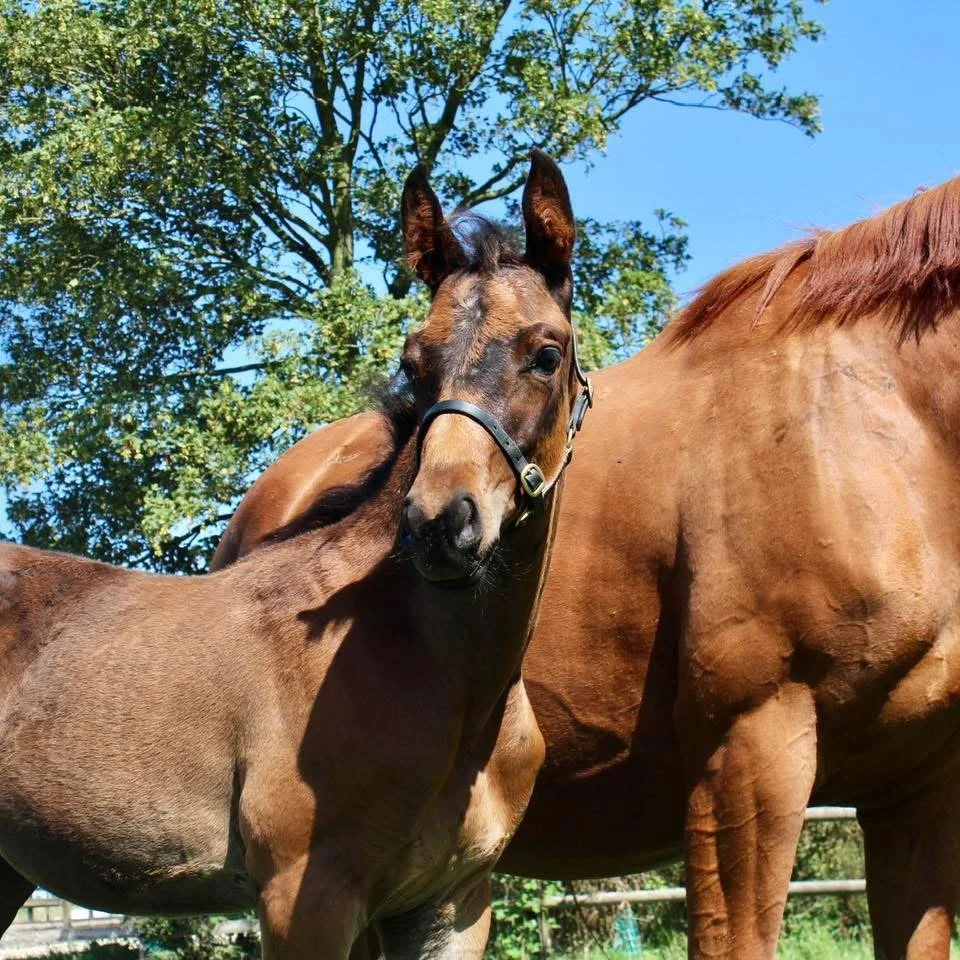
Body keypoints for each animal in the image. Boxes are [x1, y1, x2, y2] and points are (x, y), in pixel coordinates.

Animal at [0, 150, 595, 960]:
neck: (453, 686)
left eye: (546, 354)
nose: (440, 523)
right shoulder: (304, 900)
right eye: (414, 362)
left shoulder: (454, 904)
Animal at [212, 174, 960, 959]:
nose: (435, 526)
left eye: (547, 356)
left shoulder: (918, 790)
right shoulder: (749, 752)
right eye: (411, 366)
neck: (876, 432)